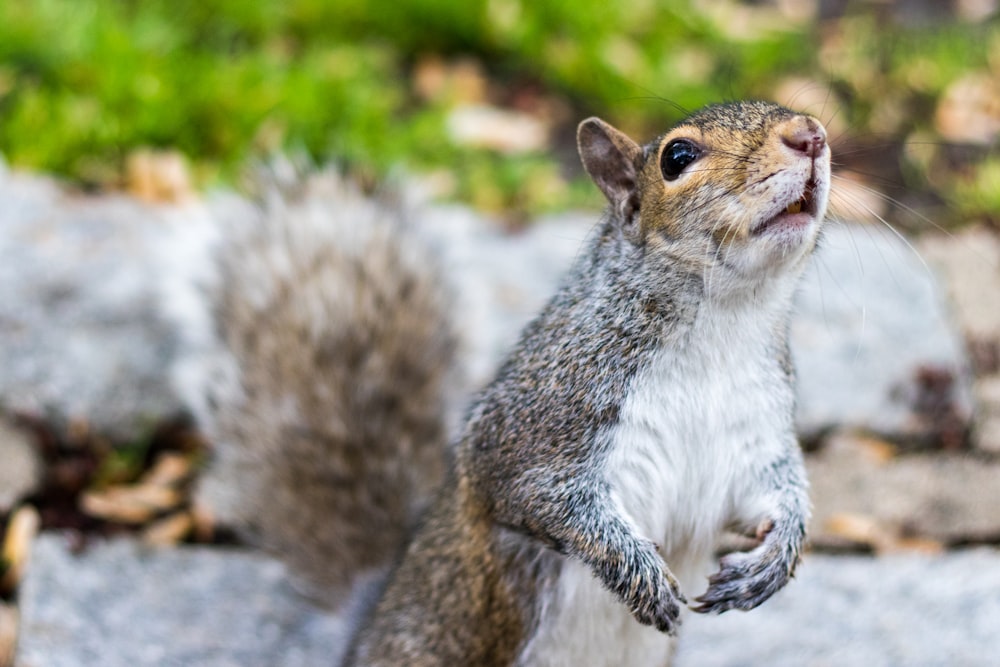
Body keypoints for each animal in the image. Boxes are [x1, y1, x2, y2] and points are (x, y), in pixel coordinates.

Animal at [172, 100, 828, 667]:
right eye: (677, 157)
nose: (811, 135)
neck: (724, 322)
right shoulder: (535, 420)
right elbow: (536, 495)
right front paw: (634, 570)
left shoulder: (754, 438)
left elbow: (775, 493)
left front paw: (777, 556)